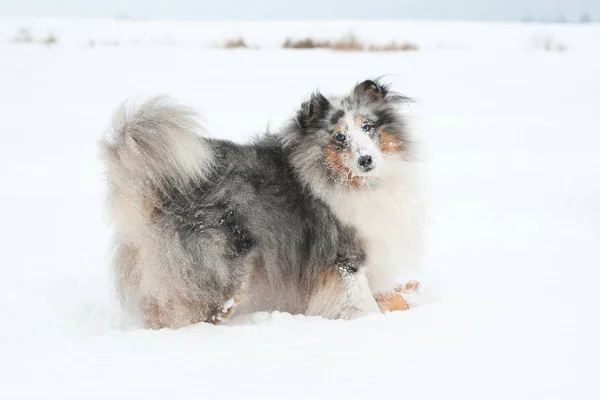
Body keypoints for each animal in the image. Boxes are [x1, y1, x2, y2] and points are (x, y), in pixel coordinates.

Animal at [99, 79, 422, 330]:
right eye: (340, 136)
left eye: (367, 127)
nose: (366, 160)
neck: (354, 182)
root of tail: (160, 191)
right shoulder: (345, 257)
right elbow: (360, 299)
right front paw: (371, 320)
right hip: (221, 274)